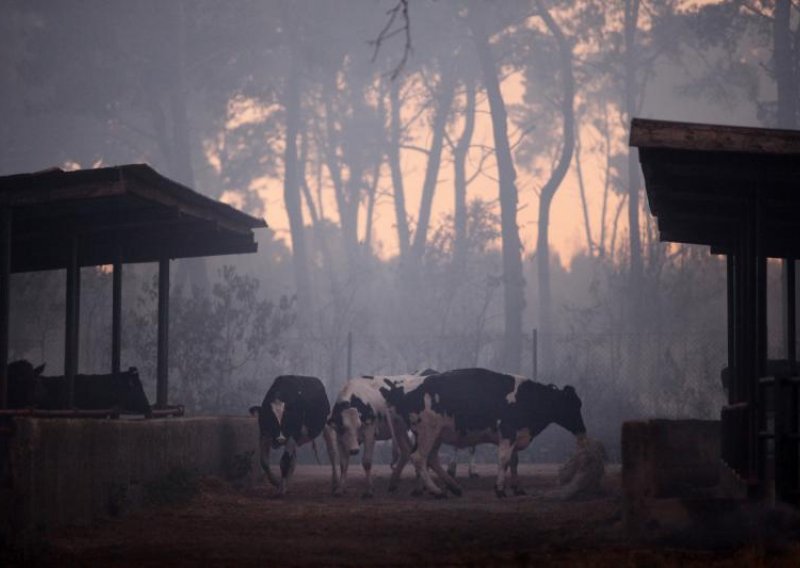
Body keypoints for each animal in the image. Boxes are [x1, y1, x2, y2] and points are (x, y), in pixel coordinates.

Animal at [378, 368, 584, 496]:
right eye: (572, 405)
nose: (582, 429)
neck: (526, 397)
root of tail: (400, 390)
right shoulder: (507, 433)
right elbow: (504, 460)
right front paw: (500, 489)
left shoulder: (516, 435)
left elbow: (514, 462)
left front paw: (517, 488)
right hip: (427, 432)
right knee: (420, 458)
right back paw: (437, 491)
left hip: (436, 434)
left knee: (432, 459)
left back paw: (454, 487)